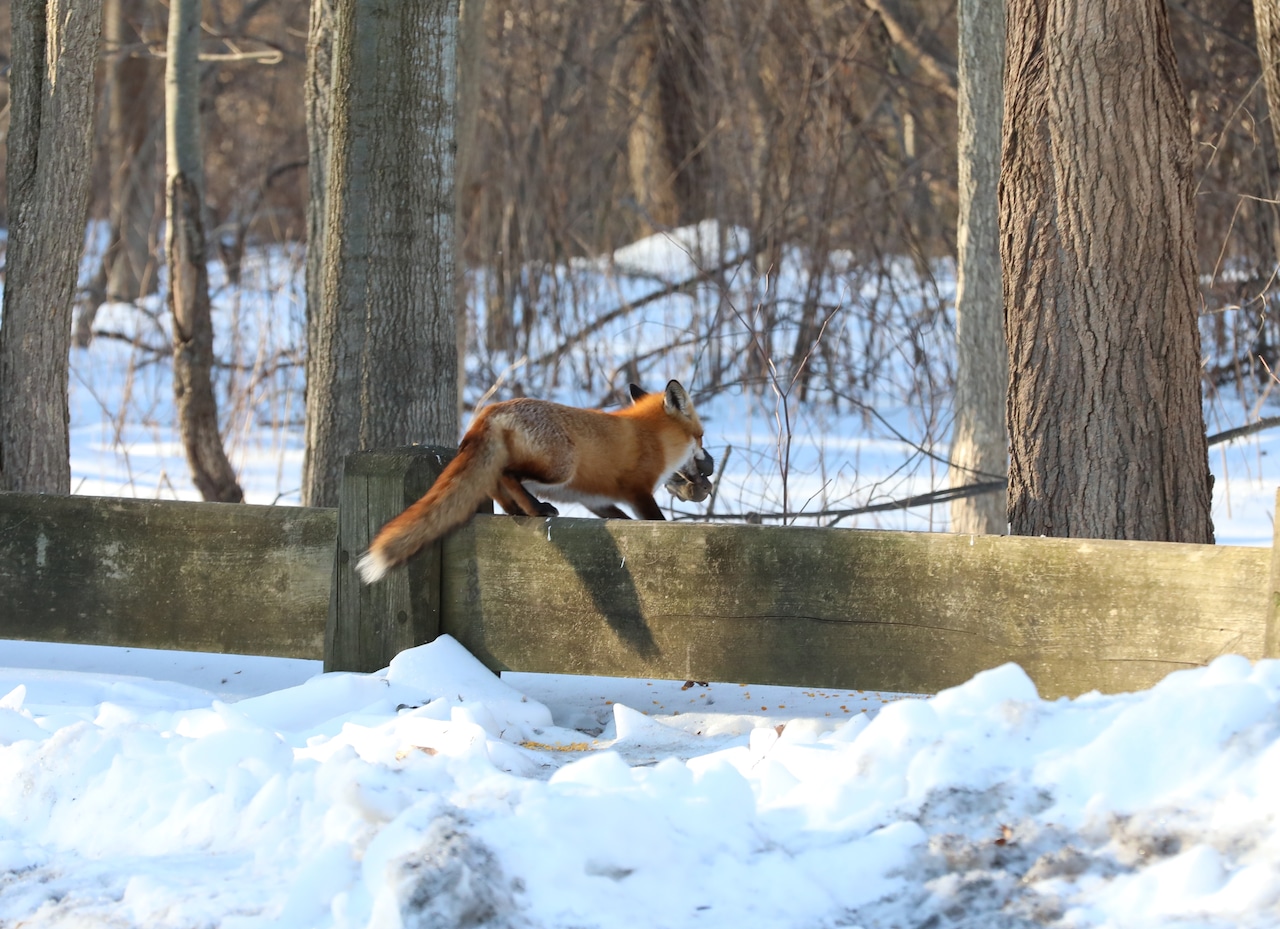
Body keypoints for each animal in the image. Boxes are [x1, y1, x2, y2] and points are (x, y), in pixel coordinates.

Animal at [356, 379, 713, 584]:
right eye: (700, 437)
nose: (708, 465)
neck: (650, 437)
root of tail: (490, 410)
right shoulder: (638, 492)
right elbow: (656, 520)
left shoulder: (597, 501)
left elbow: (619, 518)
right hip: (560, 468)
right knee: (507, 475)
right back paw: (536, 509)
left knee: (493, 482)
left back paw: (517, 510)